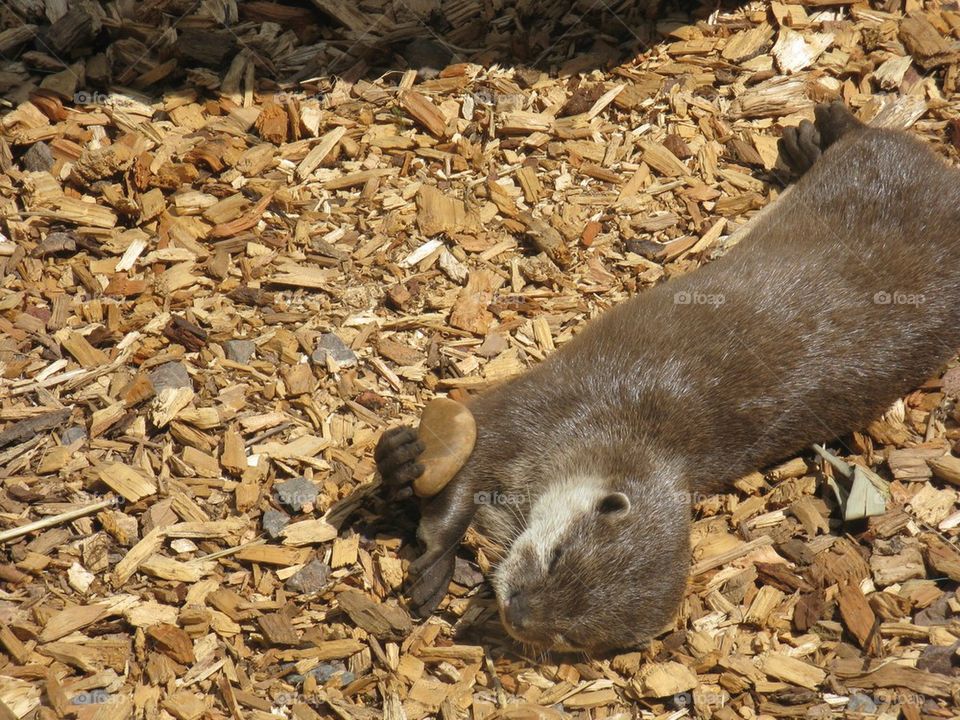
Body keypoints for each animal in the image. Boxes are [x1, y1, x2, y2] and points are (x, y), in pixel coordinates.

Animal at [374, 102, 960, 652]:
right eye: (557, 556)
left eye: (570, 636)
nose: (516, 613)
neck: (610, 433)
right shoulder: (540, 412)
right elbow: (468, 461)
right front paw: (434, 561)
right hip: (880, 166)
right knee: (874, 139)